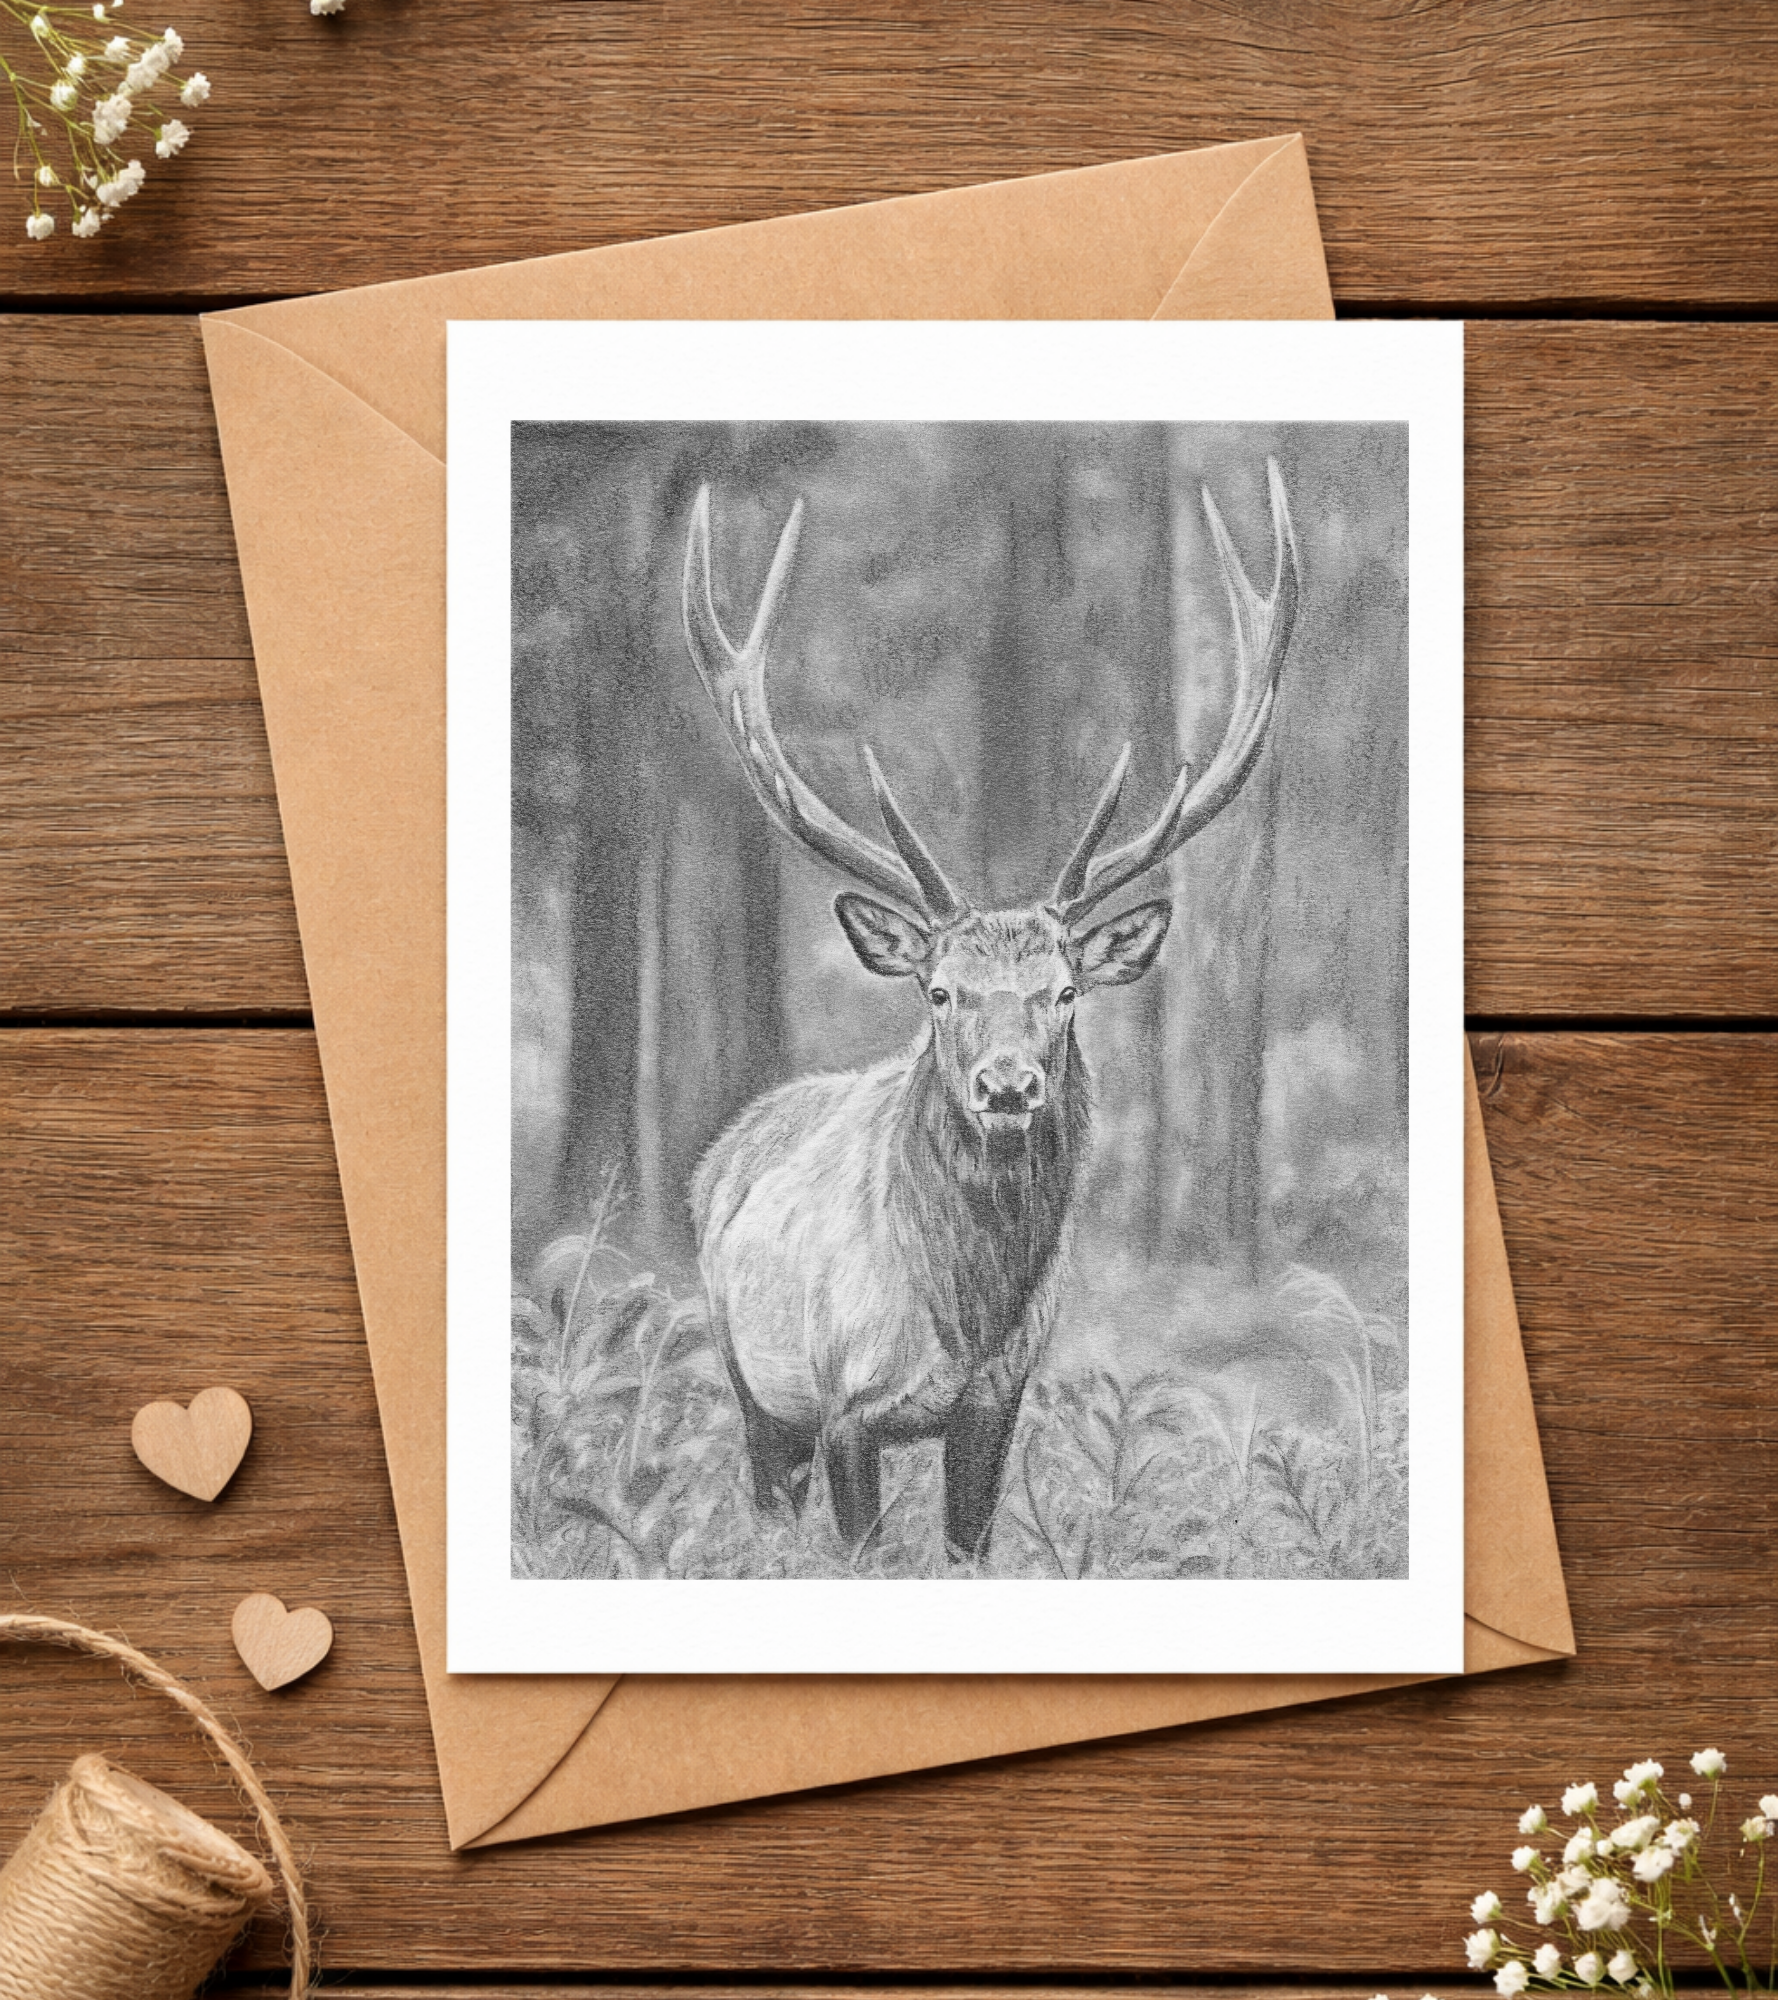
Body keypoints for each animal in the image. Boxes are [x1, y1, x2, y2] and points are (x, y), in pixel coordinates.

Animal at [679, 462, 1300, 1560]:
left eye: (1065, 992)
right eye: (939, 990)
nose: (1008, 1087)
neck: (965, 1315)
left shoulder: (994, 1404)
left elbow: (968, 1549)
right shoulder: (843, 1405)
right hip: (750, 1381)